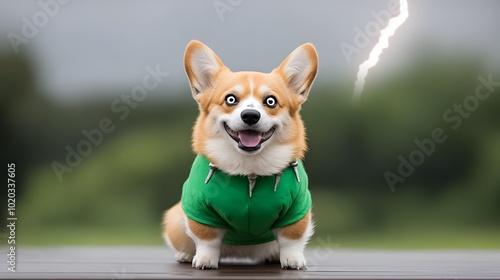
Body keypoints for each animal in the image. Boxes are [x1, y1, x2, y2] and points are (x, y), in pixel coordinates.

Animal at [164, 40, 320, 270]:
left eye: (271, 101)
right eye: (230, 99)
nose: (250, 116)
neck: (250, 170)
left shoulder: (298, 209)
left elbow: (292, 239)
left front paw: (293, 260)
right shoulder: (199, 209)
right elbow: (207, 239)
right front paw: (205, 260)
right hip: (176, 218)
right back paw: (185, 255)